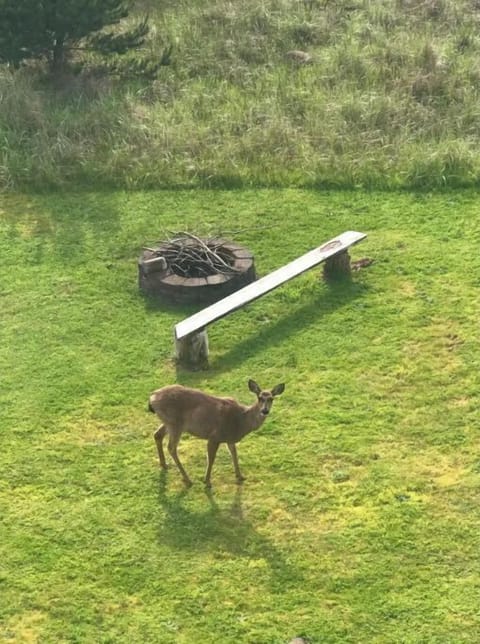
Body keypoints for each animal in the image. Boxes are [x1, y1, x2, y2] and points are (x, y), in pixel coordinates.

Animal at [148, 379, 285, 487]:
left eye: (271, 399)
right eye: (260, 398)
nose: (265, 410)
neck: (240, 421)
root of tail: (152, 397)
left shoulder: (229, 439)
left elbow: (234, 455)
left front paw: (240, 476)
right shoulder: (214, 436)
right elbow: (211, 459)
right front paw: (207, 481)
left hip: (169, 422)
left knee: (157, 435)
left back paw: (164, 465)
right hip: (175, 423)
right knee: (171, 447)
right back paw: (188, 479)